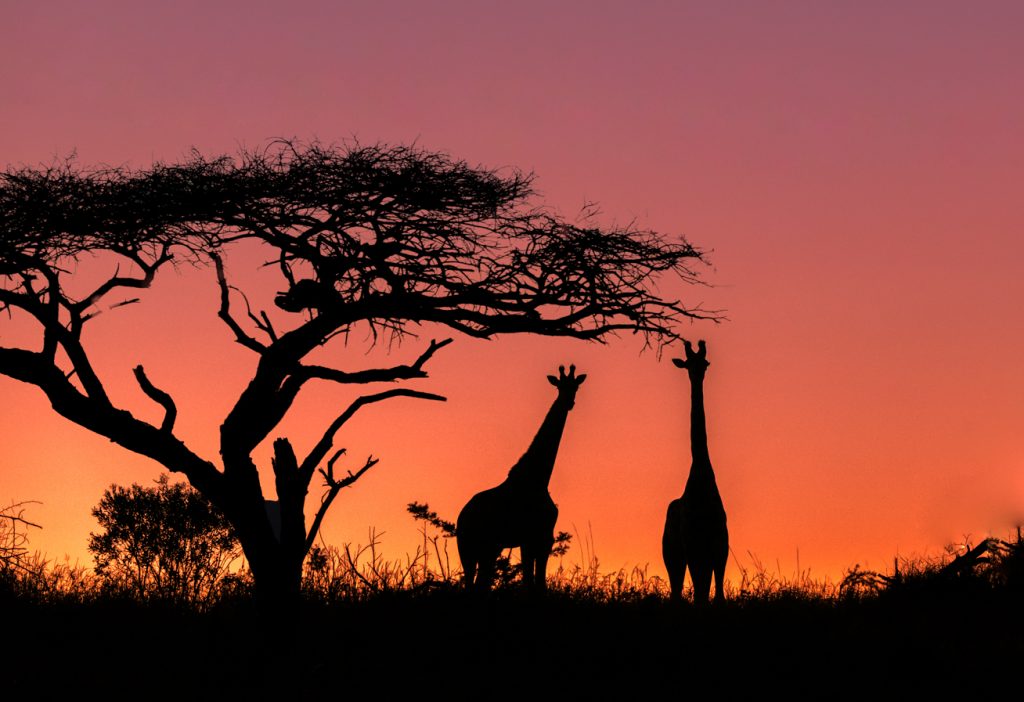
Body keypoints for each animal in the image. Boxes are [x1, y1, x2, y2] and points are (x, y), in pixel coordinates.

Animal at [456, 366, 585, 589]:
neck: (538, 479)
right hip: (468, 547)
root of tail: (461, 516)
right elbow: (532, 583)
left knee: (481, 583)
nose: (568, 402)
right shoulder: (532, 538)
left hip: (490, 548)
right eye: (559, 387)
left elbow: (536, 583)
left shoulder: (542, 538)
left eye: (575, 386)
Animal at [663, 341, 729, 605]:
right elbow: (700, 594)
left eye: (705, 363)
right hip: (672, 554)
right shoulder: (692, 545)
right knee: (676, 590)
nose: (697, 373)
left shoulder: (720, 547)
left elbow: (718, 595)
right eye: (688, 363)